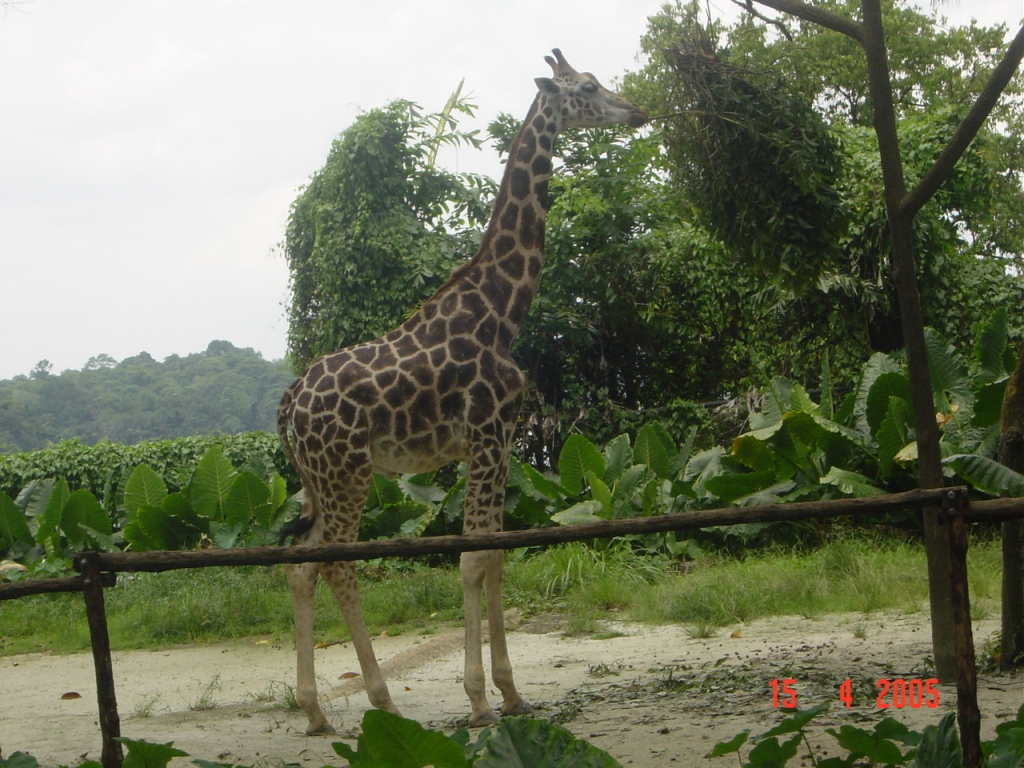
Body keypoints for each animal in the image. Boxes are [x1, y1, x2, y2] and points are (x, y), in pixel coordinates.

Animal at [274, 48, 647, 733]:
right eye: (587, 87)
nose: (636, 111)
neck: (503, 309)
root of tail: (288, 406)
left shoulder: (499, 440)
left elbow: (496, 555)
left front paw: (512, 693)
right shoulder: (489, 431)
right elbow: (474, 559)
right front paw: (478, 701)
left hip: (318, 480)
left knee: (300, 568)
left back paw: (314, 712)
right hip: (348, 473)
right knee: (336, 562)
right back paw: (383, 701)